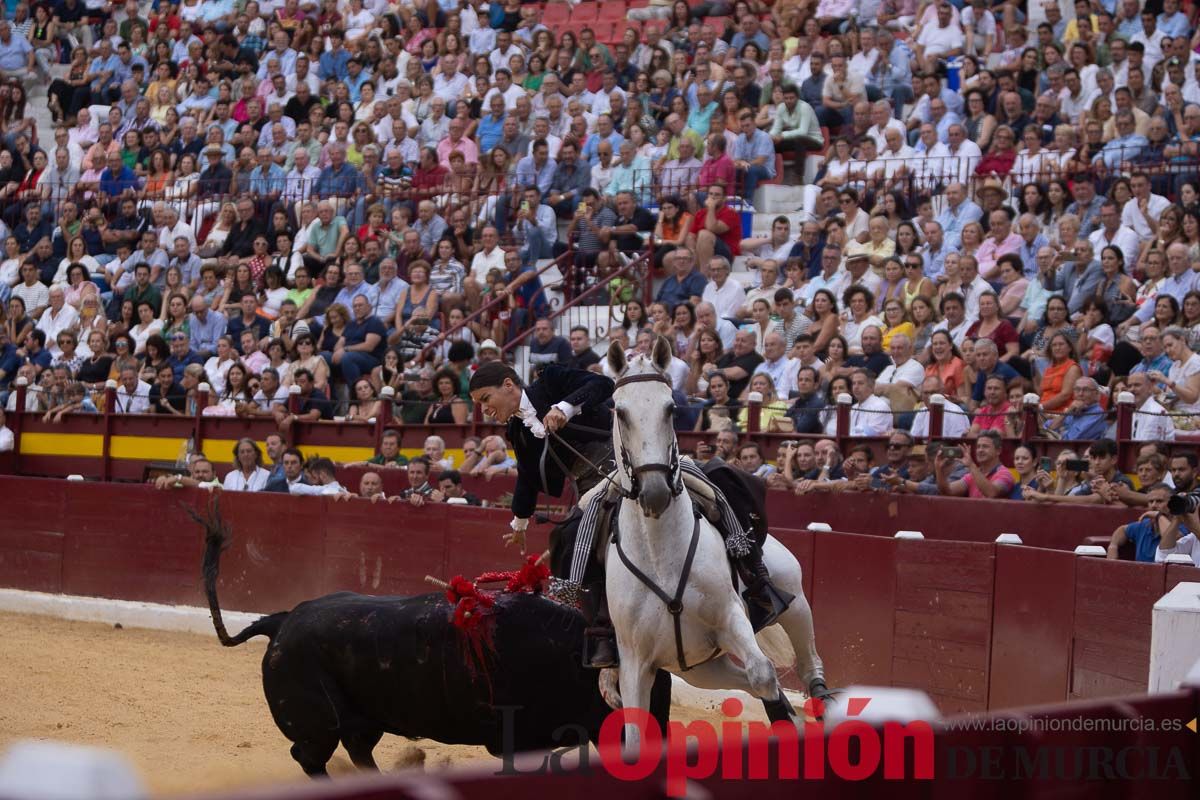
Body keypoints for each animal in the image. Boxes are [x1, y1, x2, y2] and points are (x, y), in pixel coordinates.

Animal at [192, 501, 672, 777]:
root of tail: (283, 621)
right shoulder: (518, 740)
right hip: (319, 722)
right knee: (310, 756)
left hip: (363, 718)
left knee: (354, 750)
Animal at [609, 333, 825, 753]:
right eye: (620, 411)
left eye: (671, 408)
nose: (655, 491)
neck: (660, 554)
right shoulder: (634, 662)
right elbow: (634, 735)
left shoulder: (729, 616)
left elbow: (762, 673)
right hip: (702, 666)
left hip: (795, 601)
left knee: (805, 667)